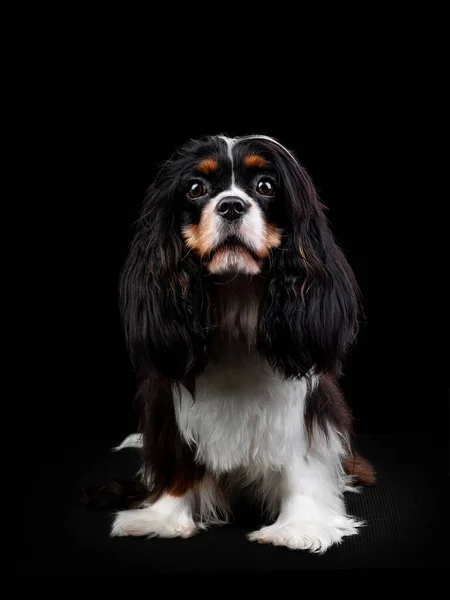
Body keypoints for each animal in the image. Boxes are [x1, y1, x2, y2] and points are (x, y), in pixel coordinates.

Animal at [110, 134, 374, 552]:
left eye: (265, 186)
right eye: (195, 189)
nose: (231, 205)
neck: (235, 295)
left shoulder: (303, 404)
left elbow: (300, 458)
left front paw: (299, 526)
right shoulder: (169, 402)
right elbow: (178, 458)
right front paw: (164, 518)